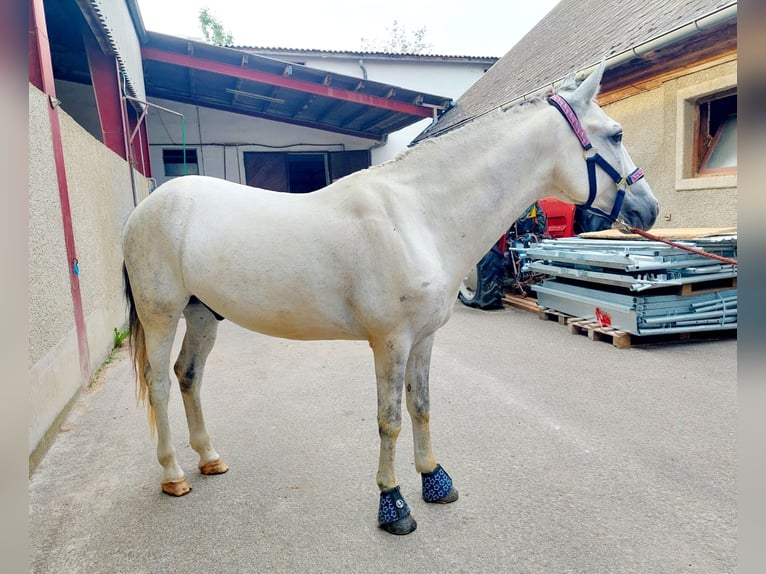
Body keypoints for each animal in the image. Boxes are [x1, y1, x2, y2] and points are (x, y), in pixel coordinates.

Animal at [121, 63, 660, 536]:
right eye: (615, 134)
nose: (649, 209)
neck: (418, 215)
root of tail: (147, 208)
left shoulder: (422, 340)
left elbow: (421, 407)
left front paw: (435, 480)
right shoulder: (391, 342)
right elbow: (390, 421)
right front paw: (393, 504)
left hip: (203, 314)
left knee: (188, 376)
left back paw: (209, 458)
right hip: (161, 315)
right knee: (160, 385)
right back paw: (174, 475)